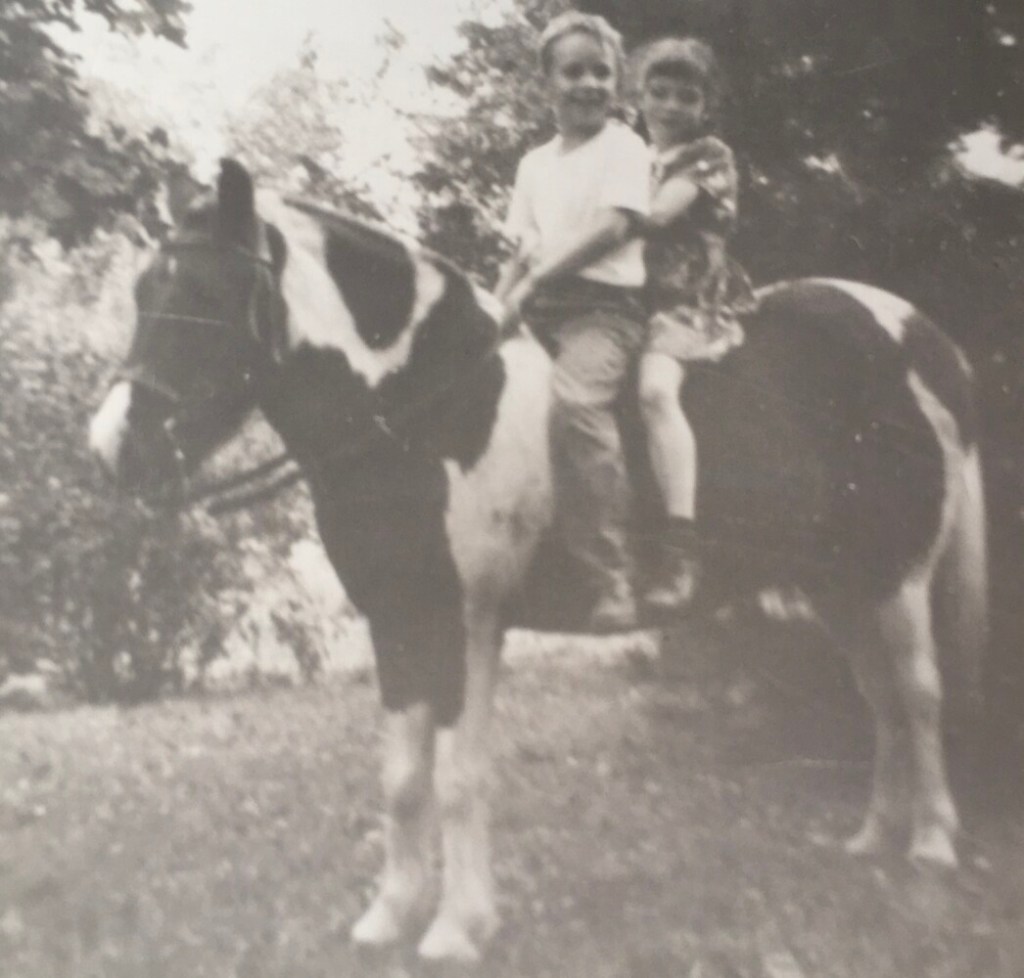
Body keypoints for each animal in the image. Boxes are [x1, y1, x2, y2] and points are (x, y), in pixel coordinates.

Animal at [88, 160, 983, 962]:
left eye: (204, 299)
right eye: (143, 293)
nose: (113, 446)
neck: (433, 405)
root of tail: (920, 335)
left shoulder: (469, 621)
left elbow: (459, 775)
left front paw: (456, 928)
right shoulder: (397, 618)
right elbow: (402, 778)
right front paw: (389, 916)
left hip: (896, 575)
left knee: (920, 694)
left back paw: (934, 844)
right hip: (839, 586)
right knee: (879, 699)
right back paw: (873, 837)